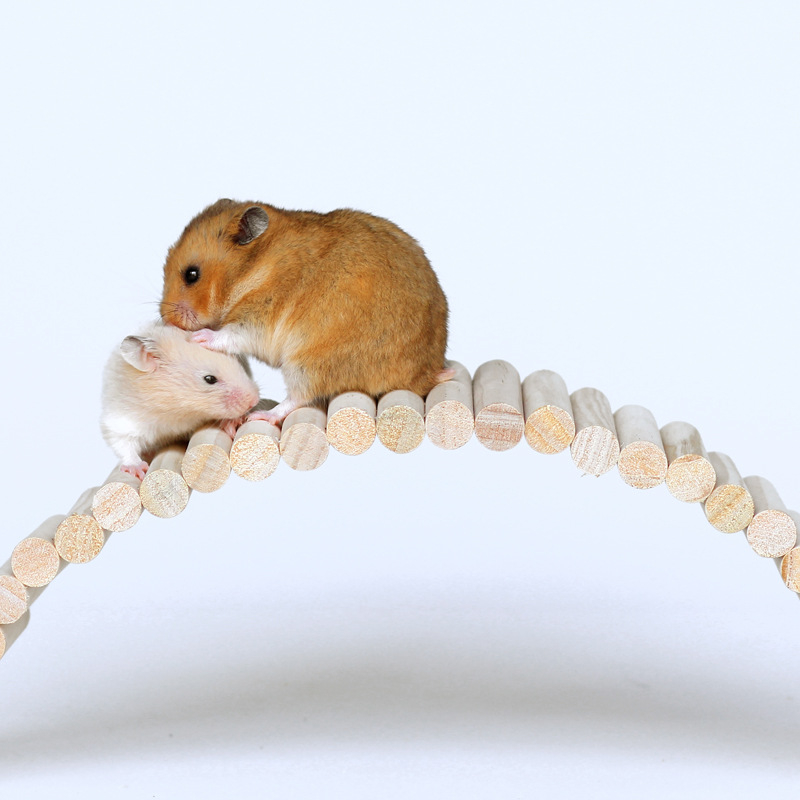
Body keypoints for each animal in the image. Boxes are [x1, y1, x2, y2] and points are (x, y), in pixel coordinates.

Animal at [100, 321, 260, 479]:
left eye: (238, 363)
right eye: (209, 379)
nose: (254, 400)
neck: (175, 411)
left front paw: (233, 423)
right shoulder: (121, 421)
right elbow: (124, 445)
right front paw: (138, 470)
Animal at [159, 199, 451, 424]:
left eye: (192, 274)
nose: (166, 319)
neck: (252, 271)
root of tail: (423, 376)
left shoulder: (259, 318)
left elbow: (229, 335)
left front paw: (198, 338)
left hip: (309, 361)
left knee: (298, 398)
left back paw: (261, 416)